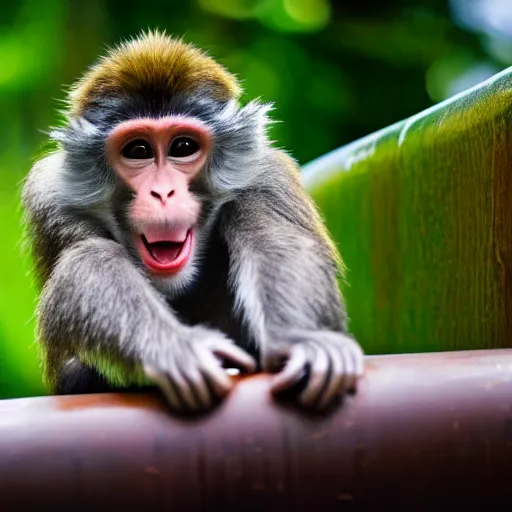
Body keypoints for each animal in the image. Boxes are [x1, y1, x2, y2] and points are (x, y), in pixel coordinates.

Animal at [21, 30, 364, 412]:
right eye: (138, 151)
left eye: (182, 147)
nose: (163, 193)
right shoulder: (50, 197)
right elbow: (87, 260)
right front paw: (176, 347)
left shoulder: (267, 174)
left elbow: (270, 227)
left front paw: (301, 338)